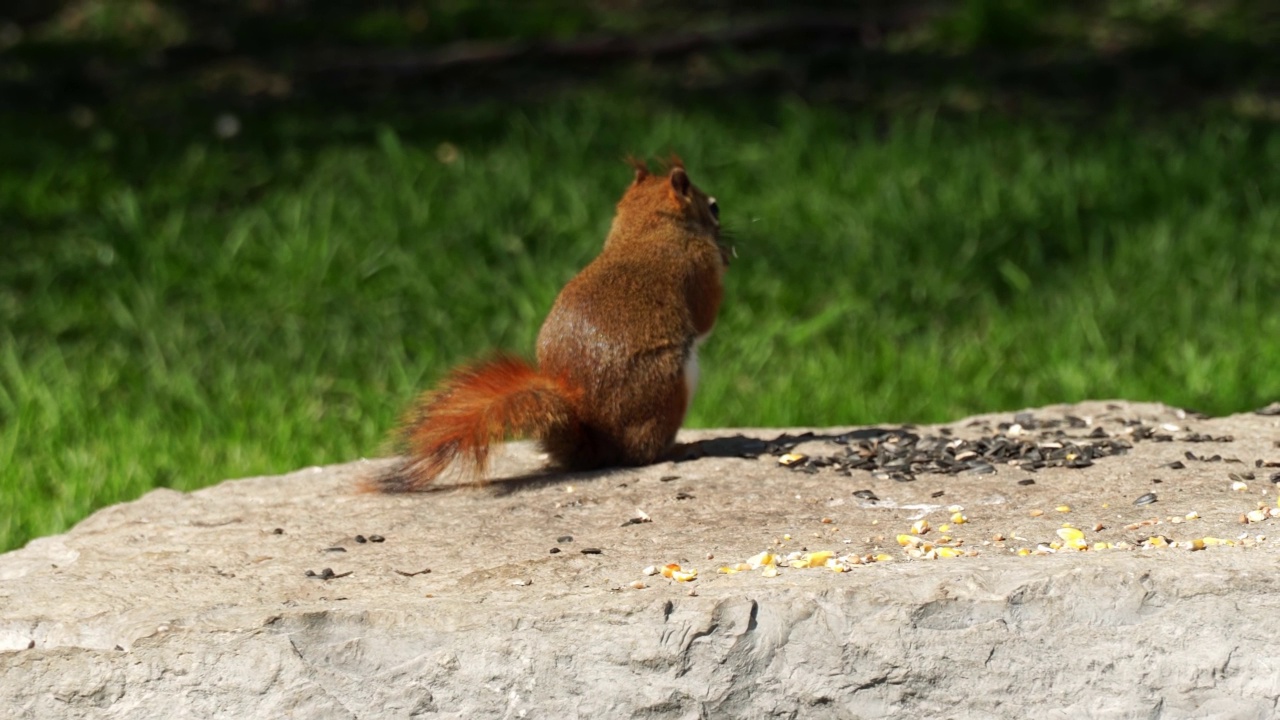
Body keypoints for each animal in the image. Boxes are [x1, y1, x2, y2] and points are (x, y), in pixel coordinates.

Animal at [371, 156, 732, 489]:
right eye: (713, 207)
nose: (725, 233)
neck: (647, 227)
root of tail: (599, 445)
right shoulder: (700, 265)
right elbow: (705, 316)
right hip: (671, 384)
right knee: (643, 453)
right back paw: (681, 448)